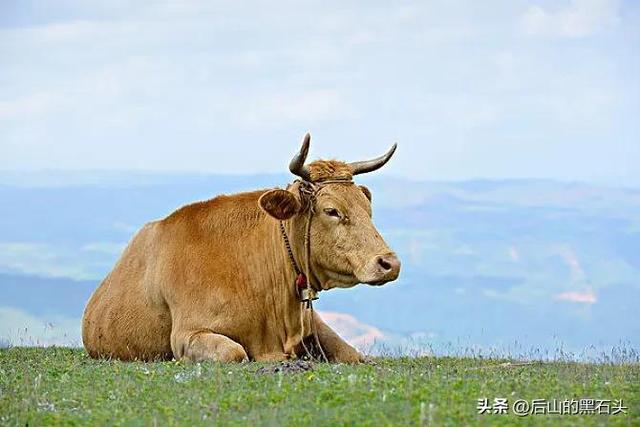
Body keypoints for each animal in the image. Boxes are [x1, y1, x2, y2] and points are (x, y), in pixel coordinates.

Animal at [80, 135, 400, 364]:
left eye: (367, 208)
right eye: (331, 211)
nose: (390, 263)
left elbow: (354, 355)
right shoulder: (187, 334)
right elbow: (234, 353)